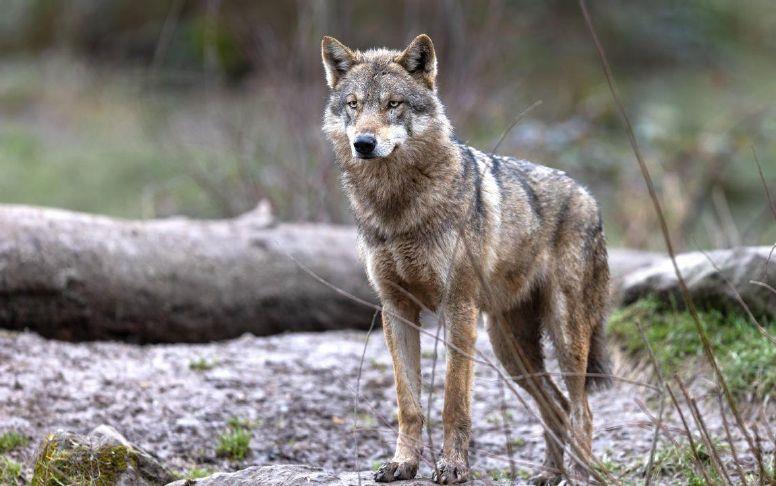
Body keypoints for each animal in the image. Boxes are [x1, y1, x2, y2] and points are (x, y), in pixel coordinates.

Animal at [321, 34, 611, 484]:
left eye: (393, 104)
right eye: (353, 104)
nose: (363, 144)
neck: (398, 207)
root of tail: (589, 197)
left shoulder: (458, 308)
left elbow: (453, 401)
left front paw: (454, 466)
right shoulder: (395, 308)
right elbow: (409, 403)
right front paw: (403, 464)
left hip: (564, 338)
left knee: (582, 409)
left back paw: (579, 475)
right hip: (511, 351)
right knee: (558, 406)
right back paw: (550, 473)